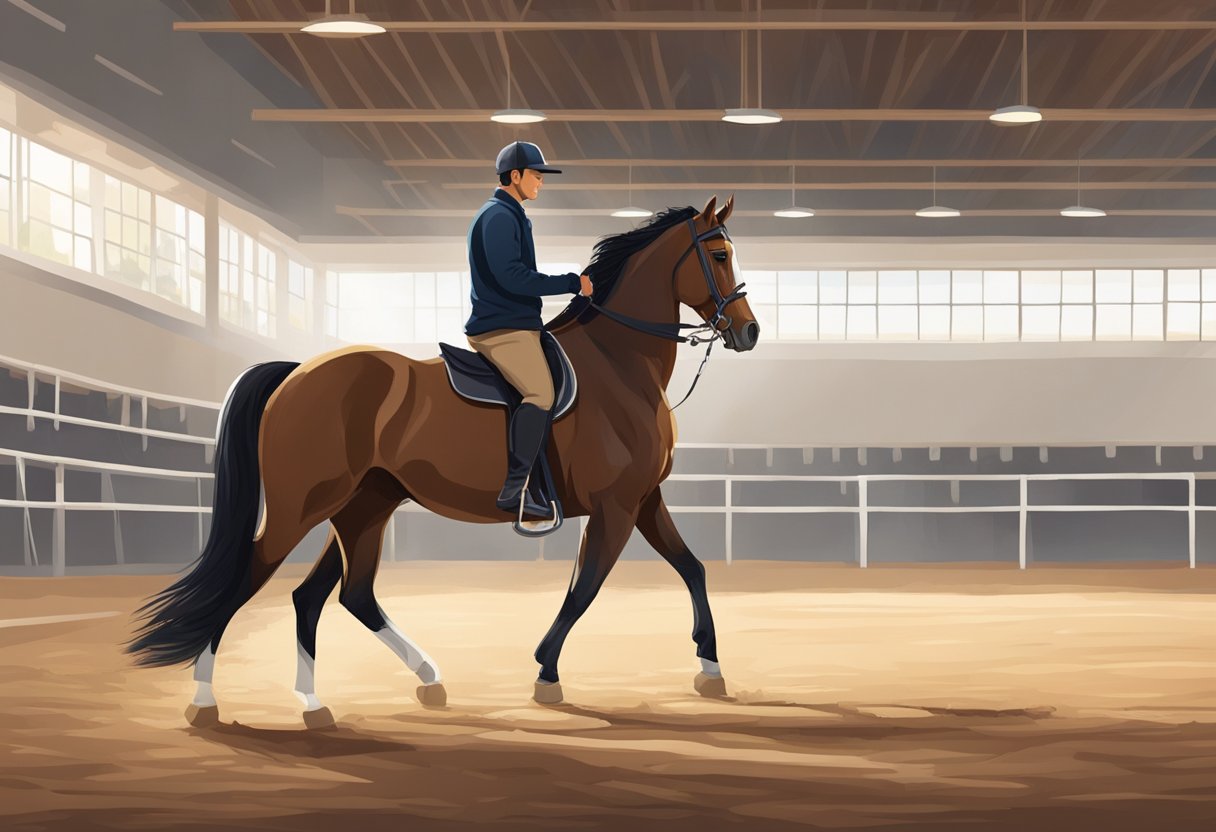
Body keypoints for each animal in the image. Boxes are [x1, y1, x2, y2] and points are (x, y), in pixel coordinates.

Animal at [133, 194, 758, 729]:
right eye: (719, 255)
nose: (749, 332)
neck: (618, 362)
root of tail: (296, 372)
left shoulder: (644, 499)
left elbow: (693, 568)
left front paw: (710, 667)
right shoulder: (616, 507)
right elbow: (584, 589)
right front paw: (546, 673)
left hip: (363, 506)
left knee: (334, 595)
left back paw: (357, 694)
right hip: (302, 508)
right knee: (250, 579)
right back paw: (205, 700)